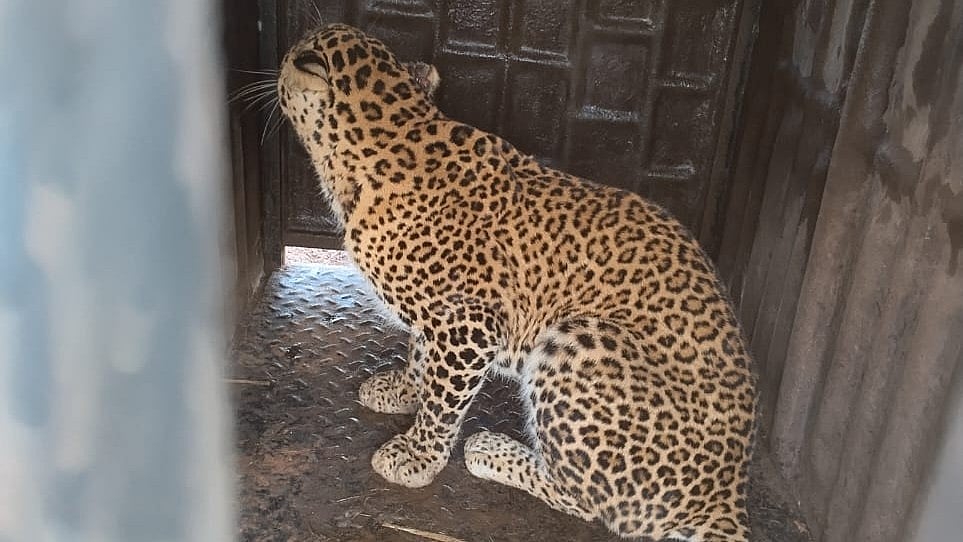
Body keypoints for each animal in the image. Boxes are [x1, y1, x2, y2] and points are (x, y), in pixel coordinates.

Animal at [276, 23, 757, 541]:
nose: (278, 66)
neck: (396, 132)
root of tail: (727, 493)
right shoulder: (441, 317)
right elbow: (421, 354)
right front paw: (403, 390)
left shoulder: (471, 324)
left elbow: (443, 400)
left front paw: (417, 455)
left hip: (578, 344)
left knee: (588, 501)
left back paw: (490, 451)